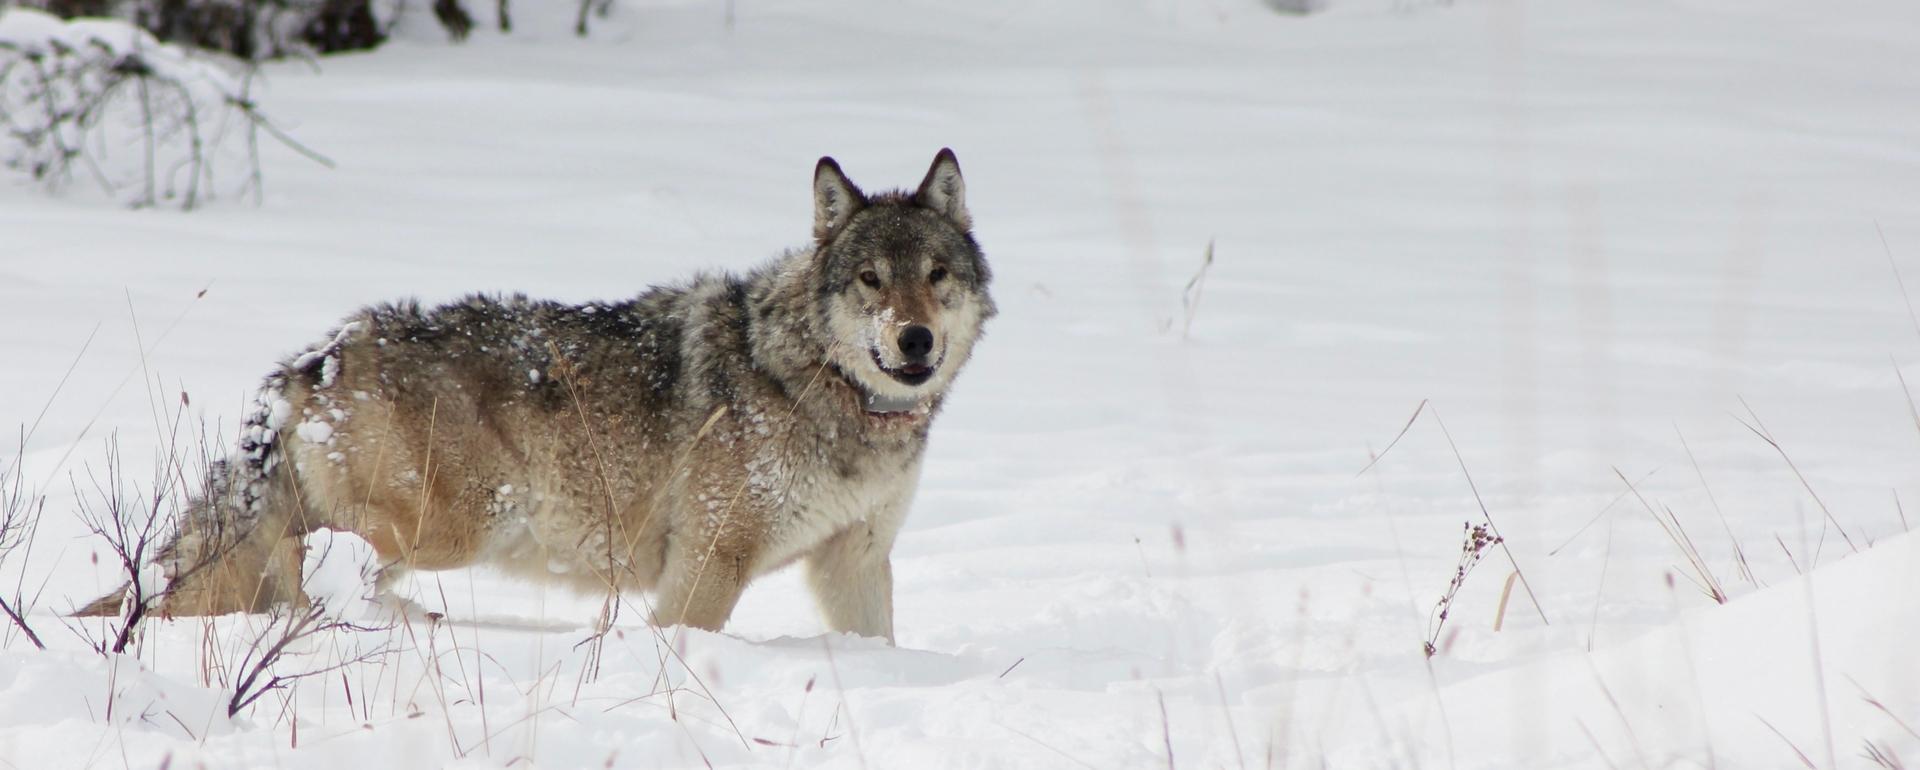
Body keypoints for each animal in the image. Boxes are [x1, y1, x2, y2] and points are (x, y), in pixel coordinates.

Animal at [78, 149, 990, 641]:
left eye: (935, 275)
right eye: (871, 280)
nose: (915, 340)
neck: (819, 384)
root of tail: (322, 356)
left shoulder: (856, 561)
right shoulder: (710, 563)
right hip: (457, 524)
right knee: (331, 577)